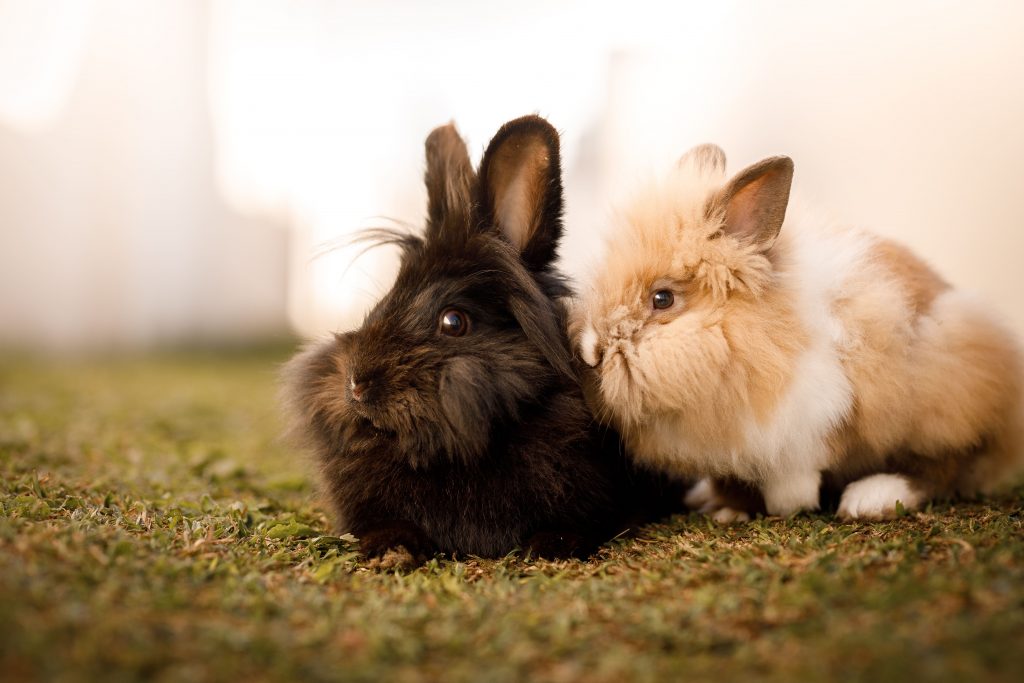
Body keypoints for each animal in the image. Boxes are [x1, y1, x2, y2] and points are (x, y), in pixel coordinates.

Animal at [569, 141, 1024, 520]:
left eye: (662, 299)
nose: (590, 352)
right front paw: (726, 507)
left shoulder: (802, 427)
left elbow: (792, 480)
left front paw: (781, 506)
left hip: (941, 390)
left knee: (943, 466)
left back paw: (870, 499)